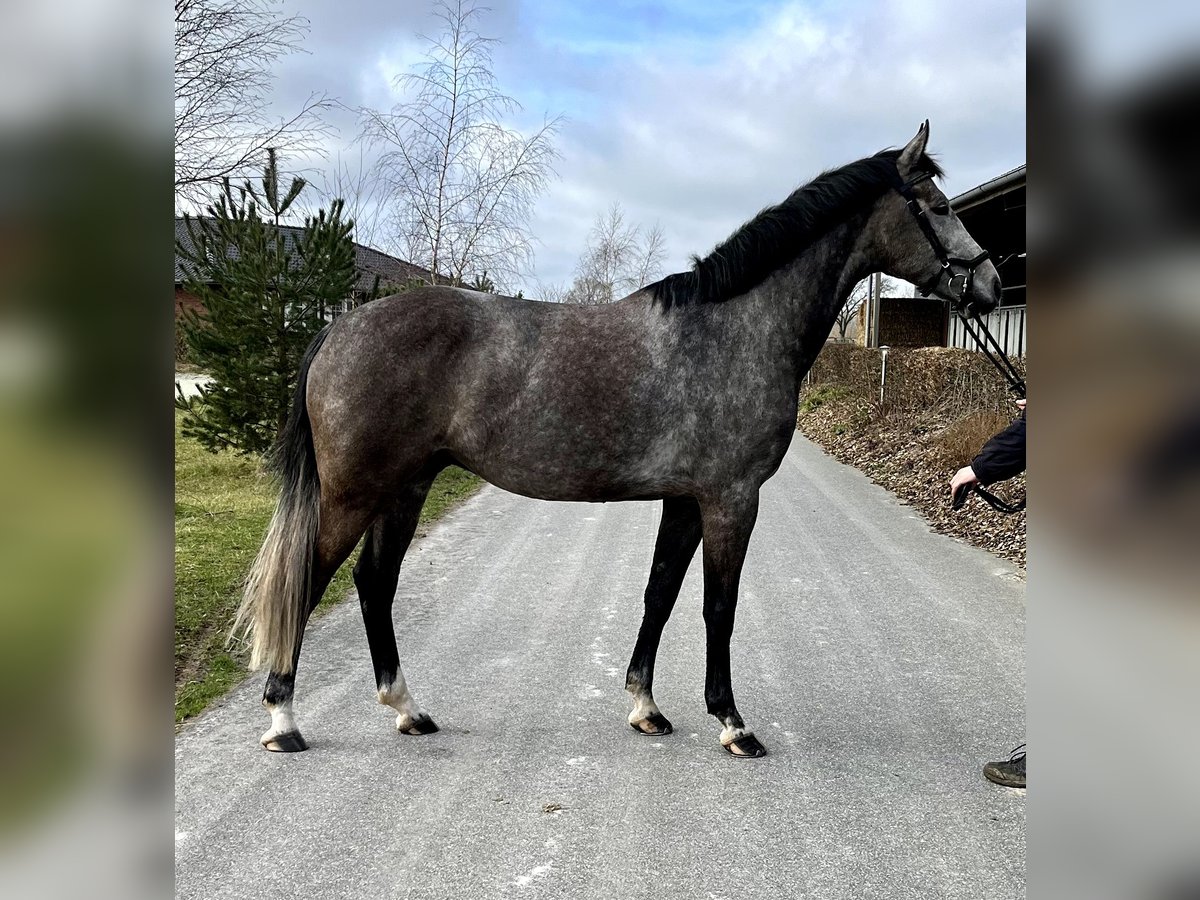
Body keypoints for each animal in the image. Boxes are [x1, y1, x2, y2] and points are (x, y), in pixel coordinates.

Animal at [236, 123, 1003, 758]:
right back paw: (283, 722)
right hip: (355, 492)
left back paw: (407, 710)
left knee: (374, 582)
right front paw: (733, 724)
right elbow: (717, 607)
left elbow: (659, 593)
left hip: (408, 485)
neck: (734, 329)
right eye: (936, 206)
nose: (991, 285)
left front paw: (646, 708)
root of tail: (340, 326)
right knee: (309, 580)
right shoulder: (731, 500)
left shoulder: (685, 500)